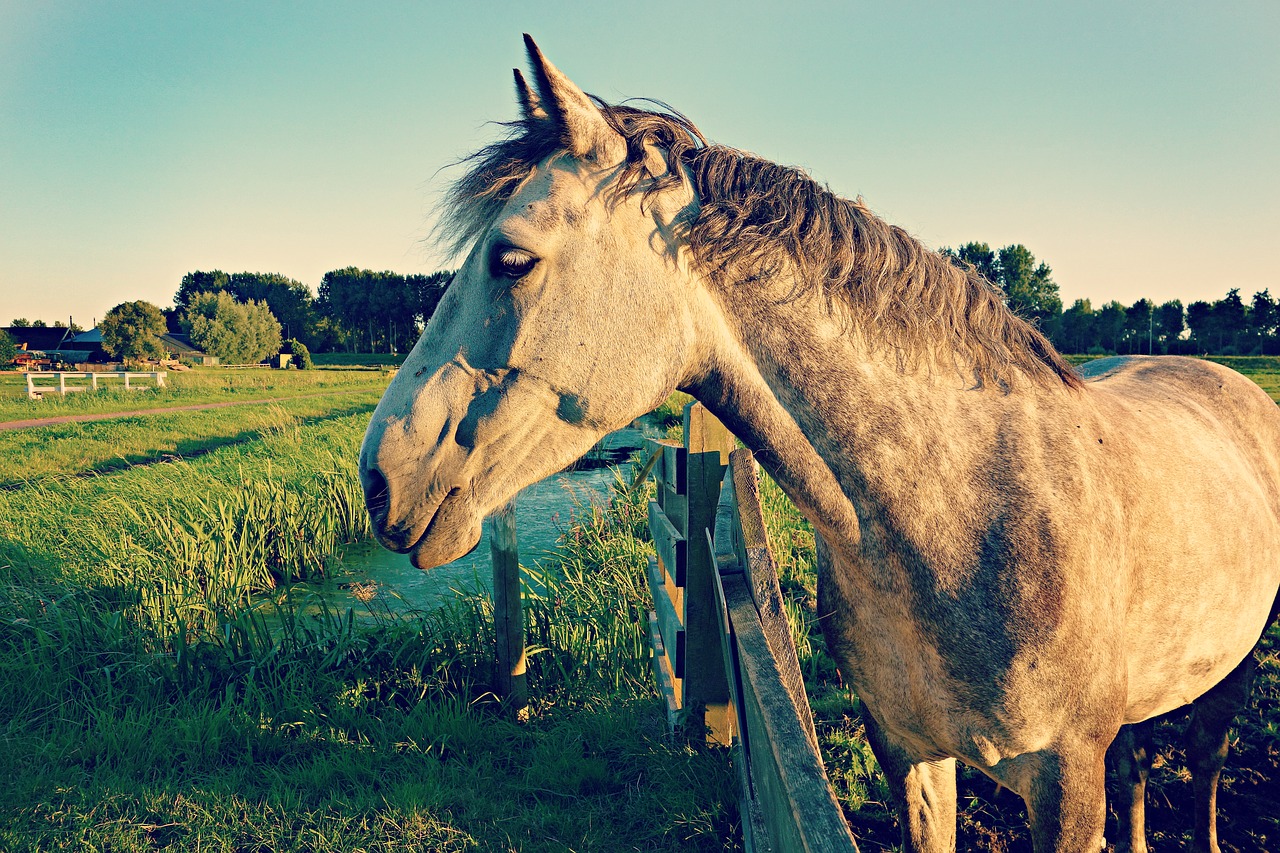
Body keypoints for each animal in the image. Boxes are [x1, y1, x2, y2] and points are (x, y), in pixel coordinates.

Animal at [360, 36, 1280, 850]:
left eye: (512, 258)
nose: (378, 477)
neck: (962, 514)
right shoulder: (909, 753)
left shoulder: (1064, 781)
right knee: (1142, 763)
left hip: (1228, 673)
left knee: (1203, 763)